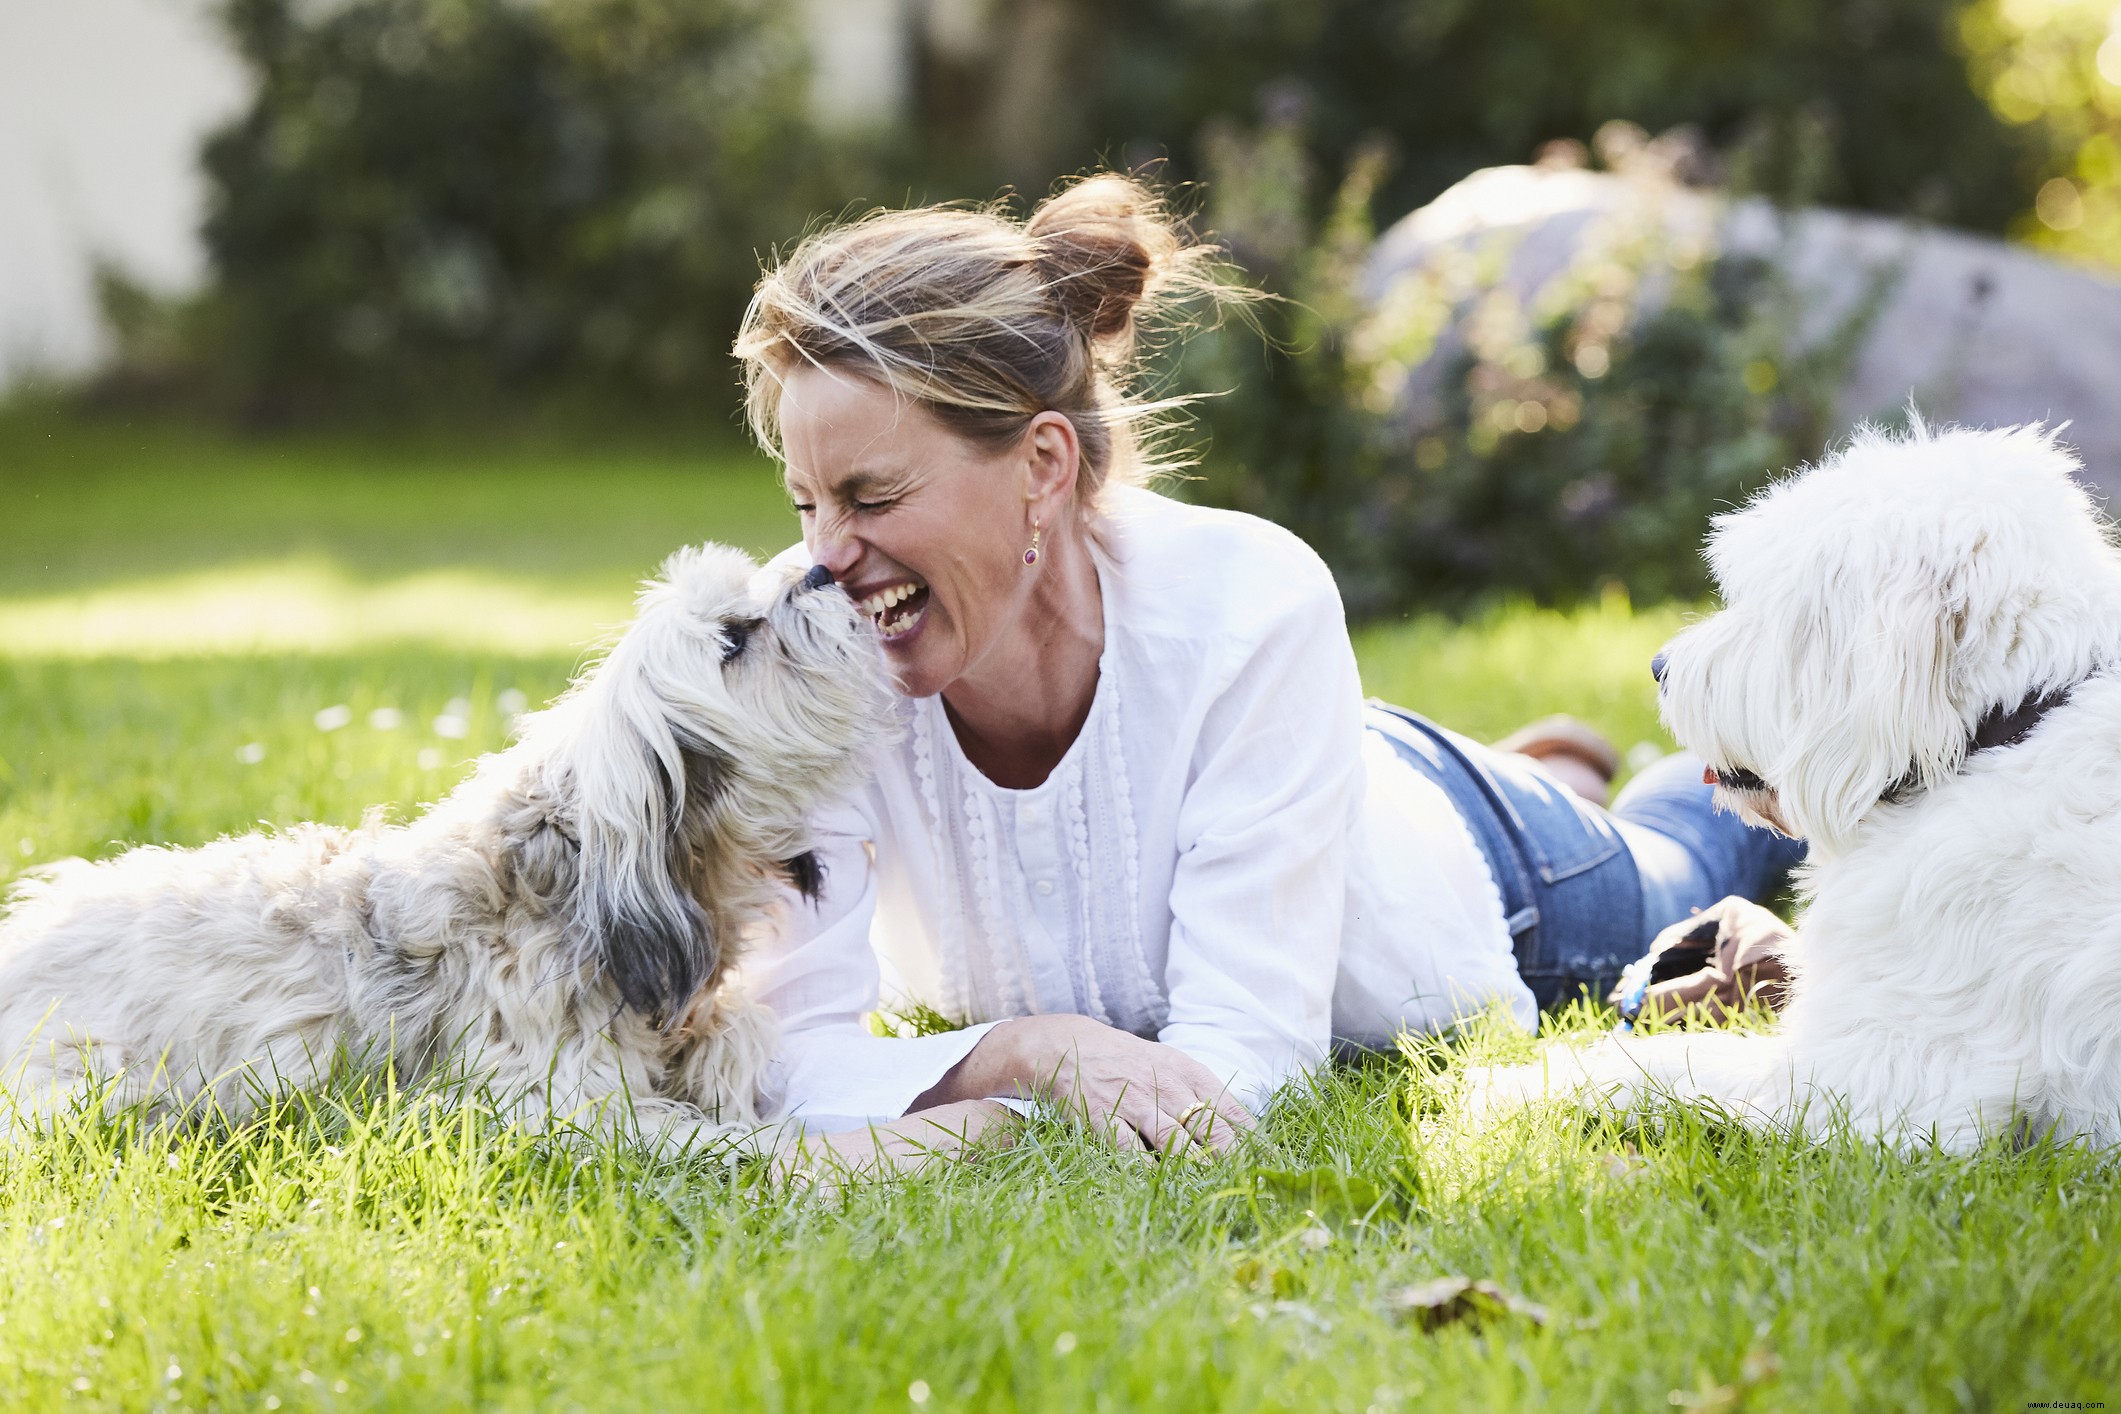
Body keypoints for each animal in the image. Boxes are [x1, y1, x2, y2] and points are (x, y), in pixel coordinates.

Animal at [1476, 426, 2121, 1153]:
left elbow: (1670, 1059)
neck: (2010, 728)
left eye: (1765, 606)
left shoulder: (1872, 1093)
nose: (1658, 668)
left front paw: (1502, 1084)